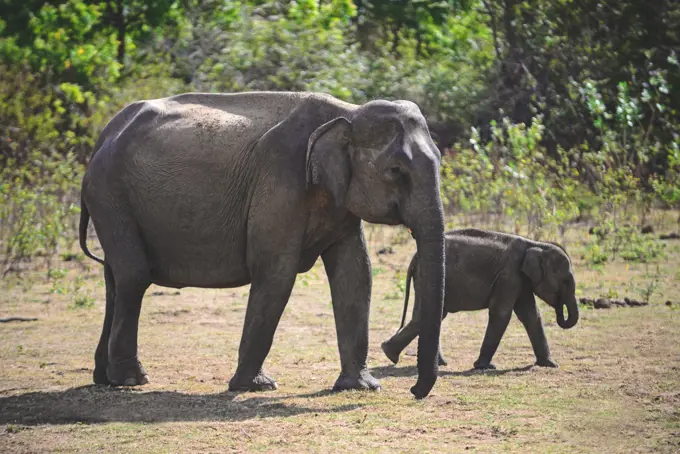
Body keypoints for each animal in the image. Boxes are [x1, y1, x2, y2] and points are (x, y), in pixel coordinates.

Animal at [79, 91, 446, 398]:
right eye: (396, 171)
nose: (414, 391)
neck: (349, 112)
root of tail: (103, 136)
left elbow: (355, 274)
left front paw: (361, 387)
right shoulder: (280, 181)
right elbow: (276, 272)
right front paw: (256, 387)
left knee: (115, 280)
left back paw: (105, 378)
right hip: (109, 194)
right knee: (133, 276)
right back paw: (131, 380)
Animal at [380, 229, 576, 370]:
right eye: (565, 281)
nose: (560, 310)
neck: (536, 245)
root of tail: (415, 256)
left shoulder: (521, 280)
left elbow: (531, 315)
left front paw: (550, 365)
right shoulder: (509, 275)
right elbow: (501, 314)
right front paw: (484, 367)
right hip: (428, 276)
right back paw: (390, 354)